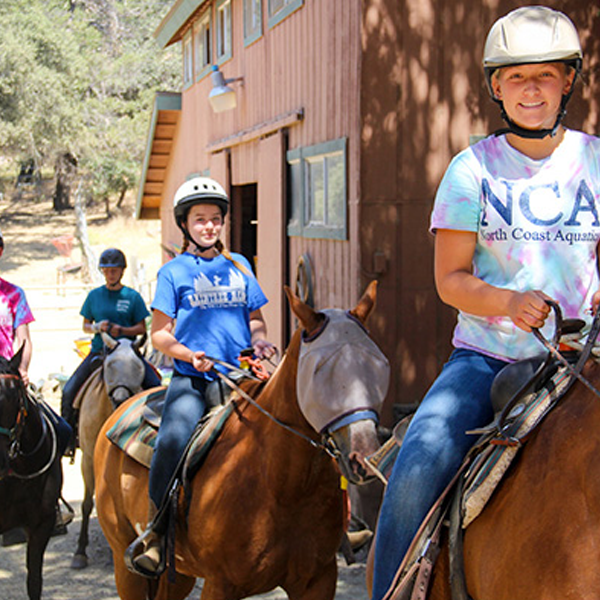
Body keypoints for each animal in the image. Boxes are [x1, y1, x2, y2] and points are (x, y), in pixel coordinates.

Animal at [70, 330, 149, 568]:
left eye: (138, 366)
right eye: (110, 365)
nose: (121, 398)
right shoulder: (87, 458)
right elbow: (87, 503)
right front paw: (80, 551)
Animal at [94, 282, 390, 600]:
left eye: (379, 363)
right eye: (320, 369)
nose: (362, 455)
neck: (282, 483)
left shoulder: (319, 581)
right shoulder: (220, 584)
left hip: (178, 574)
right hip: (125, 563)